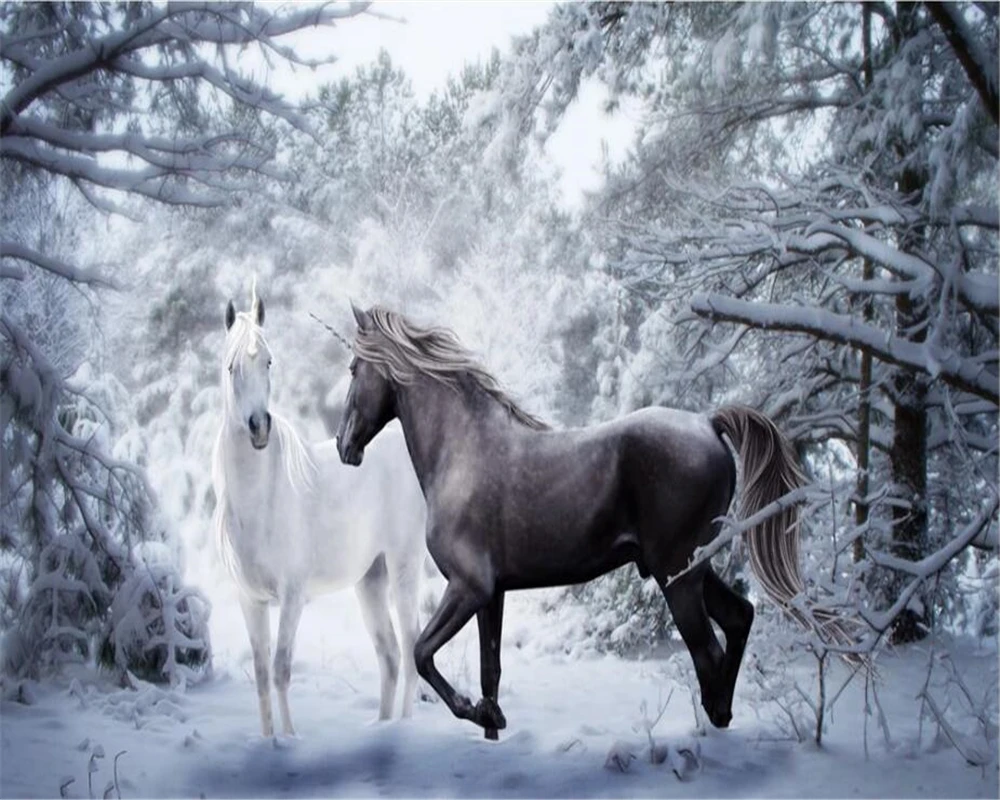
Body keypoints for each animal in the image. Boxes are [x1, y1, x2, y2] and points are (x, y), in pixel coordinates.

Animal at [212, 286, 426, 737]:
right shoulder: (250, 600)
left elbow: (281, 669)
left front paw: (290, 740)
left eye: (269, 361)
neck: (263, 500)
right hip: (370, 579)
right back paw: (380, 729)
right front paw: (268, 741)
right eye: (231, 367)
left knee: (410, 648)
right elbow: (262, 674)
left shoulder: (292, 595)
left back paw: (402, 728)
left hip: (403, 566)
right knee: (389, 656)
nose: (259, 427)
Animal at [335, 304, 849, 741]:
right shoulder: (492, 595)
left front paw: (477, 712)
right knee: (740, 618)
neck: (462, 451)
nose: (345, 446)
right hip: (693, 568)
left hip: (677, 576)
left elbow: (423, 653)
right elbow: (490, 671)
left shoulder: (469, 587)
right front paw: (492, 721)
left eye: (355, 368)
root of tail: (707, 423)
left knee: (709, 653)